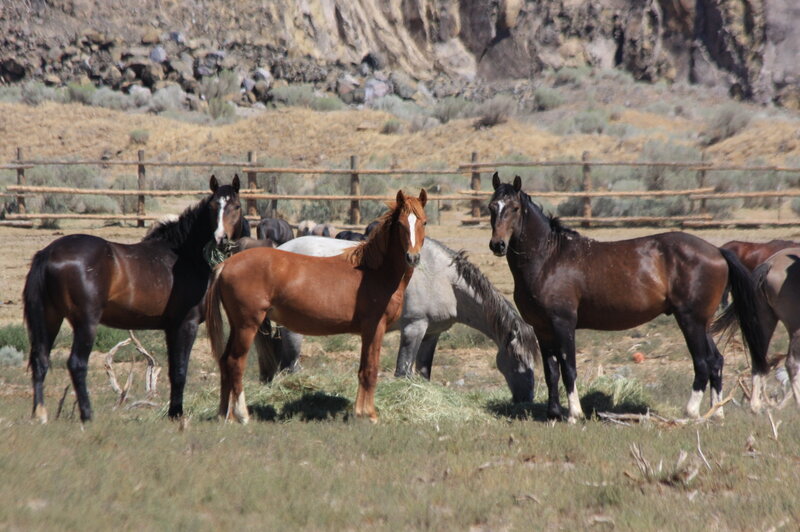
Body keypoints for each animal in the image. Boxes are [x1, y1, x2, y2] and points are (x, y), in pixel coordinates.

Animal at [23, 175, 245, 423]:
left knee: (40, 360)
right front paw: (177, 414)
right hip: (85, 323)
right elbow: (180, 371)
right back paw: (87, 415)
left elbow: (172, 370)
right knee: (77, 364)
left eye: (236, 206)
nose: (220, 239)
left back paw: (40, 414)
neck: (183, 256)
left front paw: (172, 412)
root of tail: (49, 253)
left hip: (50, 317)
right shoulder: (186, 324)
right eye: (212, 207)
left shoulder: (171, 328)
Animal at [206, 189, 428, 423]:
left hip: (237, 325)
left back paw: (225, 415)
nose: (413, 257)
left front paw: (360, 412)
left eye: (424, 222)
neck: (374, 272)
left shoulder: (369, 332)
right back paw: (242, 415)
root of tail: (226, 264)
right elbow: (370, 370)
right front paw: (369, 415)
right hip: (247, 325)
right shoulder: (374, 328)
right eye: (401, 224)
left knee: (224, 362)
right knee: (235, 362)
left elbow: (363, 369)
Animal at [259, 236, 538, 403]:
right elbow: (403, 371)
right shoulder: (414, 327)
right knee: (290, 367)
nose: (526, 399)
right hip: (292, 330)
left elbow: (423, 372)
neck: (442, 277)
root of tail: (280, 249)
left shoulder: (432, 333)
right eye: (518, 359)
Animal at [487, 174, 766, 422]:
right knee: (716, 361)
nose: (497, 245)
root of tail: (717, 251)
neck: (549, 259)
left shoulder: (563, 324)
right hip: (702, 323)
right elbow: (551, 372)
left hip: (691, 321)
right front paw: (553, 414)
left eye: (514, 208)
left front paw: (574, 414)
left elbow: (569, 369)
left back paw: (691, 412)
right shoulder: (542, 329)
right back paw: (716, 413)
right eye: (492, 206)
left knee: (702, 362)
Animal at [713, 247, 800, 411]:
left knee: (758, 360)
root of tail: (770, 264)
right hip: (795, 327)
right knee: (791, 364)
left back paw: (756, 406)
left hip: (764, 321)